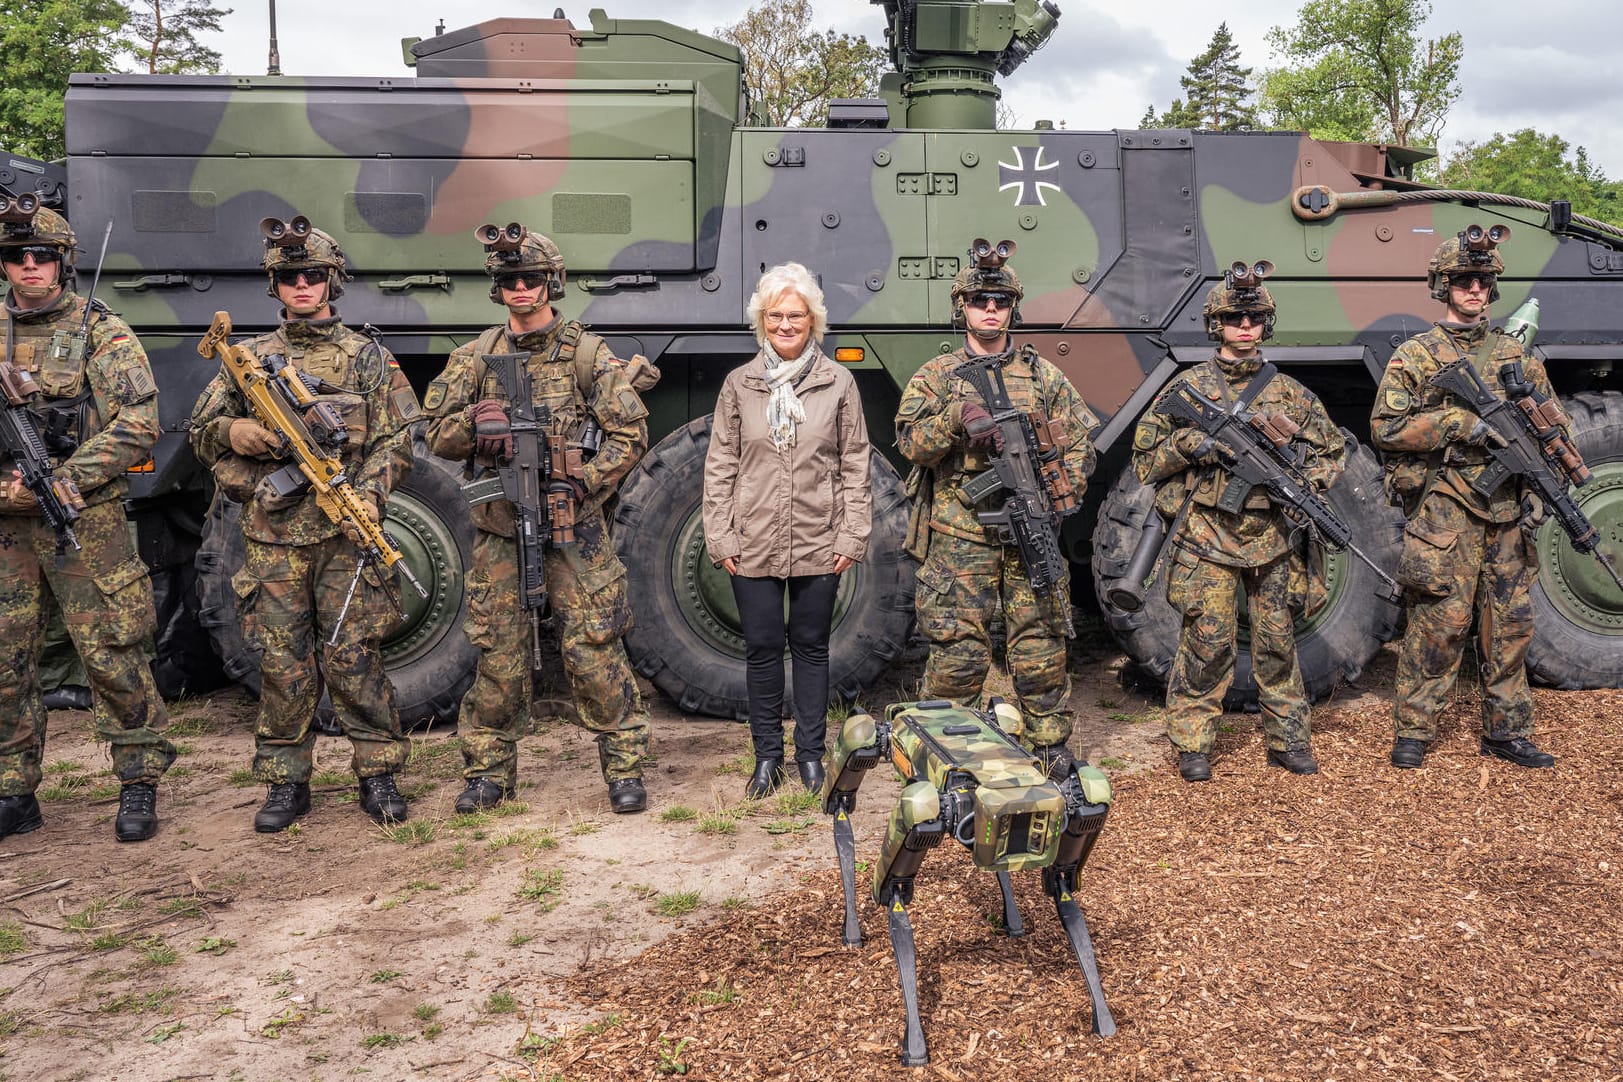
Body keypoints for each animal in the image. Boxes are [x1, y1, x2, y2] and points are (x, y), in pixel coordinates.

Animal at [824, 704, 1116, 1064]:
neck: (1003, 786)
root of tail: (913, 706)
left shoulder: (1082, 807)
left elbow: (1063, 883)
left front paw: (1102, 1013)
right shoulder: (924, 810)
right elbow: (893, 891)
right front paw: (915, 1042)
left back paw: (1014, 920)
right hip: (872, 743)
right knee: (843, 788)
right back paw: (851, 927)